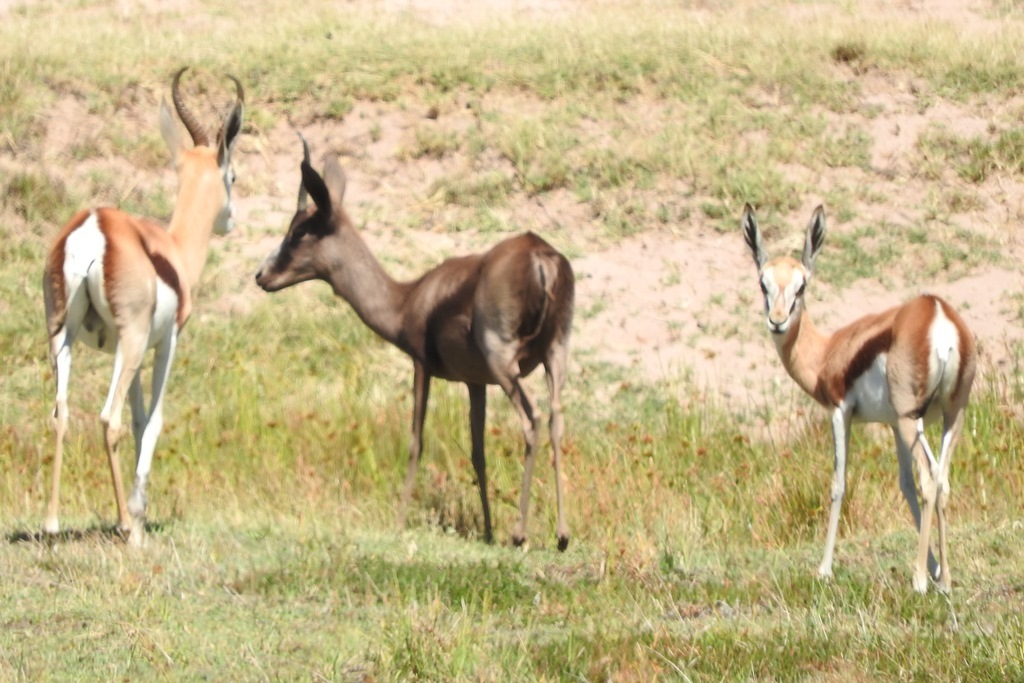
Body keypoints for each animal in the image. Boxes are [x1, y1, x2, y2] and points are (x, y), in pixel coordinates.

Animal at [45, 69, 244, 548]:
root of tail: (92, 227)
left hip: (63, 336)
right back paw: (123, 524)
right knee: (106, 418)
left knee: (61, 414)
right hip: (131, 342)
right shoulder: (164, 342)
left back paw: (52, 524)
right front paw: (137, 513)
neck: (171, 249)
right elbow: (151, 420)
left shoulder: (124, 349)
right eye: (233, 176)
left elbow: (137, 419)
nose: (231, 220)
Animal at [256, 136, 577, 552]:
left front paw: (398, 522)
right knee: (556, 419)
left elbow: (415, 442)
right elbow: (477, 451)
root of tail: (540, 256)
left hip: (504, 361)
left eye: (298, 232)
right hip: (556, 355)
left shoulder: (421, 365)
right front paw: (488, 531)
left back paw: (520, 533)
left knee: (532, 418)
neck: (406, 299)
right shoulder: (475, 382)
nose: (261, 275)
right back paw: (561, 535)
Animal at [745, 204, 974, 593]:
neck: (826, 353)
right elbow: (905, 484)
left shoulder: (840, 412)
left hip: (912, 419)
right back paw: (944, 580)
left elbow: (839, 484)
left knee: (931, 479)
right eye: (764, 283)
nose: (777, 321)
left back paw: (918, 581)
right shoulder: (894, 426)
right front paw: (934, 567)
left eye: (801, 285)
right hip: (948, 417)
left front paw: (823, 569)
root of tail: (937, 313)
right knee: (941, 479)